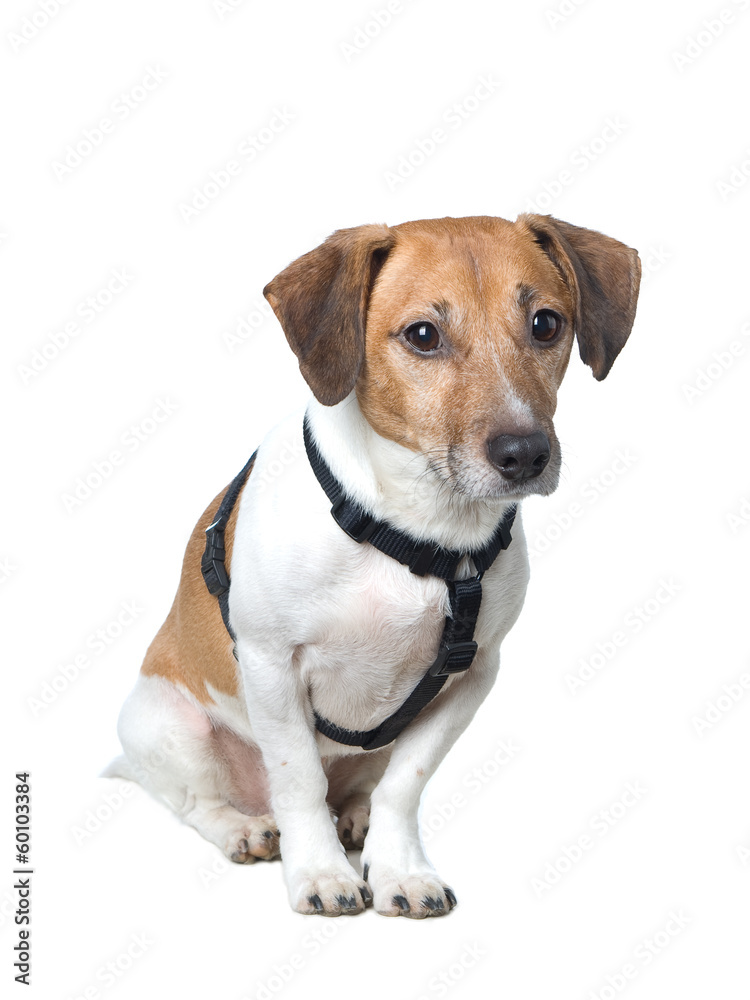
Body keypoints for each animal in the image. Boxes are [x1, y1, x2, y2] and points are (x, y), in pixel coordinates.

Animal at [108, 215, 644, 916]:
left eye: (546, 324)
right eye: (422, 335)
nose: (525, 453)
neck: (416, 531)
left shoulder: (469, 678)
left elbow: (404, 785)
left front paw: (399, 870)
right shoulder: (270, 664)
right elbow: (298, 781)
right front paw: (319, 873)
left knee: (360, 787)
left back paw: (355, 817)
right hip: (171, 727)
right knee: (198, 801)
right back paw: (245, 828)